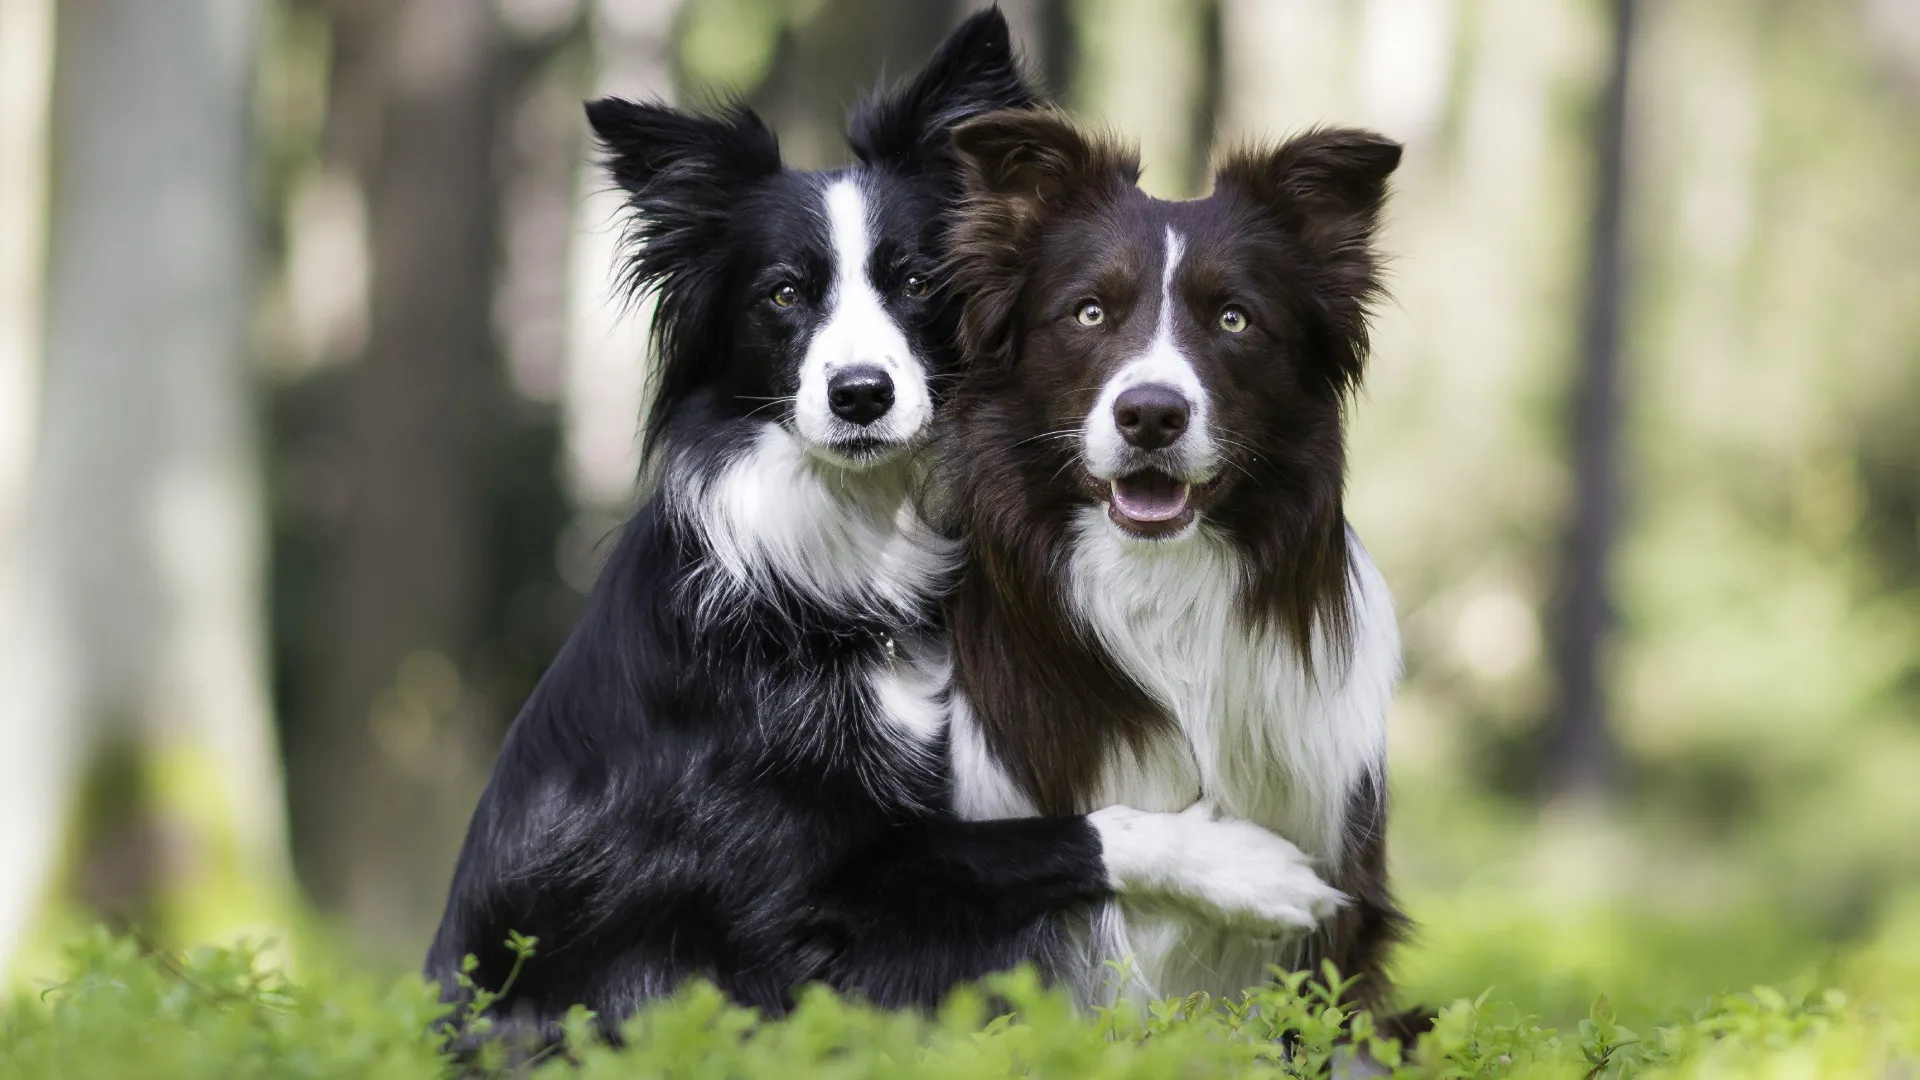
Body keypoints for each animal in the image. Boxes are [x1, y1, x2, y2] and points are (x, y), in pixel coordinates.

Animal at [430, 10, 1344, 1037]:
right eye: (784, 294)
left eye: (916, 281)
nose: (860, 393)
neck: (846, 554)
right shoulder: (796, 898)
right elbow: (1058, 834)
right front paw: (1249, 868)